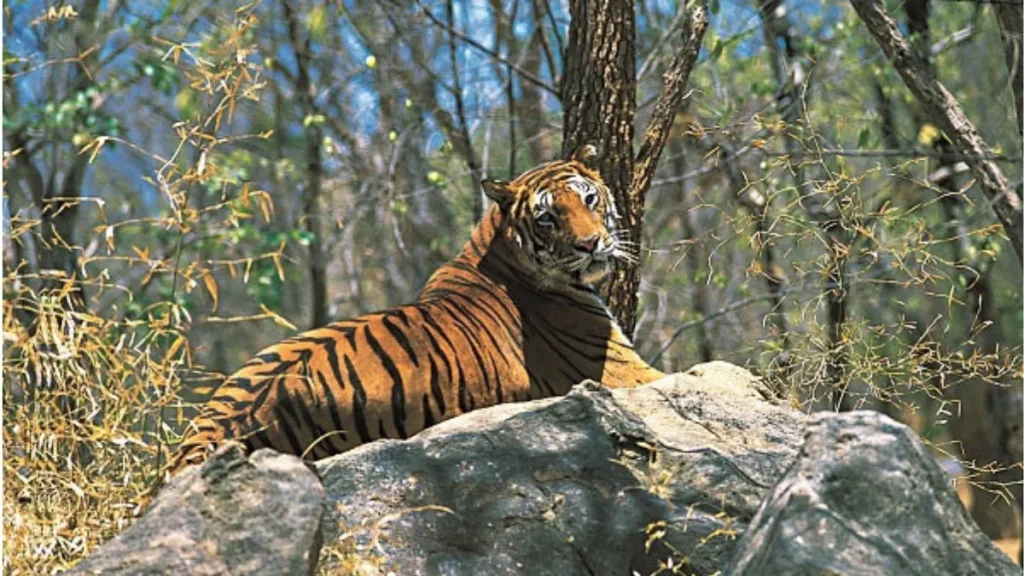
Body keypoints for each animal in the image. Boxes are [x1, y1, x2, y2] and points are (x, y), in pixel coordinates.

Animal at [167, 144, 665, 476]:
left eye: (589, 199)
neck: (497, 245)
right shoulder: (624, 372)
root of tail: (205, 437)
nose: (591, 244)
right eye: (547, 218)